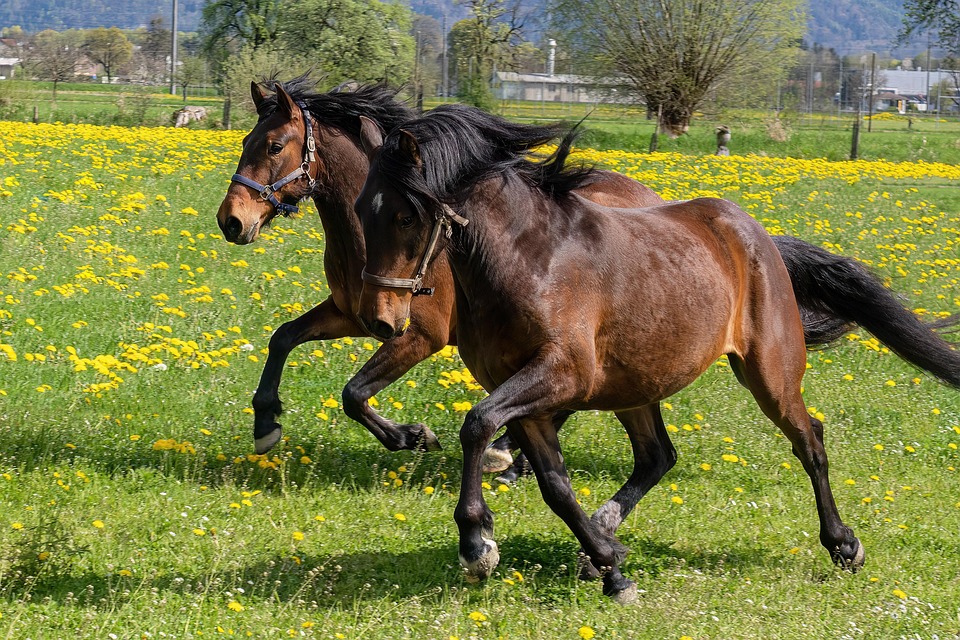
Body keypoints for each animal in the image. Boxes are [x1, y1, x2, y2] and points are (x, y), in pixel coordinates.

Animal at [215, 76, 960, 481]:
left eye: (273, 145)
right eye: (246, 142)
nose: (232, 221)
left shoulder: (413, 334)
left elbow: (353, 392)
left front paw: (410, 436)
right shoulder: (353, 312)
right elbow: (283, 338)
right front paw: (266, 424)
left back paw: (506, 456)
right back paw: (515, 455)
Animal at [353, 104, 960, 602]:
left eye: (406, 214)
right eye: (360, 208)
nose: (382, 318)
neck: (529, 261)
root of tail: (755, 233)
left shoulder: (560, 375)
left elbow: (477, 425)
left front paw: (477, 543)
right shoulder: (523, 392)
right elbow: (553, 482)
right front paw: (610, 568)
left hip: (767, 371)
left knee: (809, 440)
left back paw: (843, 545)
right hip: (634, 386)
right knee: (657, 457)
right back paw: (601, 545)